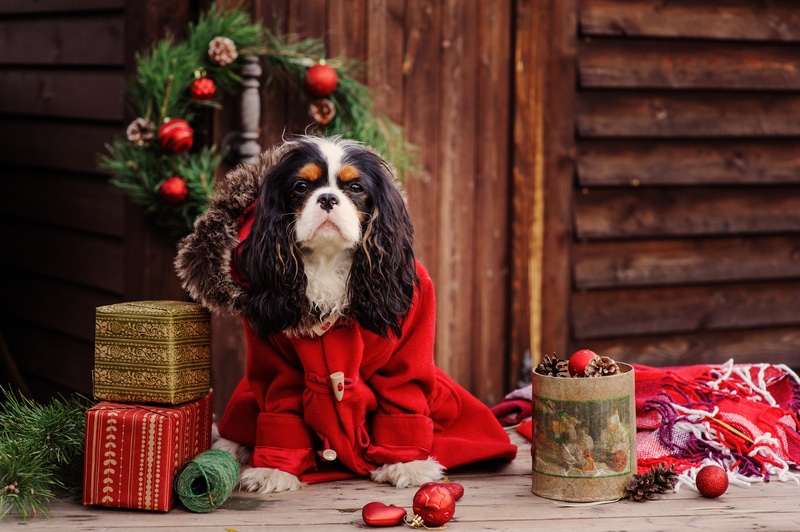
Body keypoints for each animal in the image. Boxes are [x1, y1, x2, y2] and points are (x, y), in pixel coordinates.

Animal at [174, 136, 516, 494]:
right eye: (300, 186)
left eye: (355, 187)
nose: (327, 198)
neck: (328, 259)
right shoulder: (274, 363)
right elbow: (280, 406)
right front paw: (274, 469)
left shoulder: (406, 355)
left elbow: (403, 399)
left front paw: (407, 464)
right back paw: (234, 445)